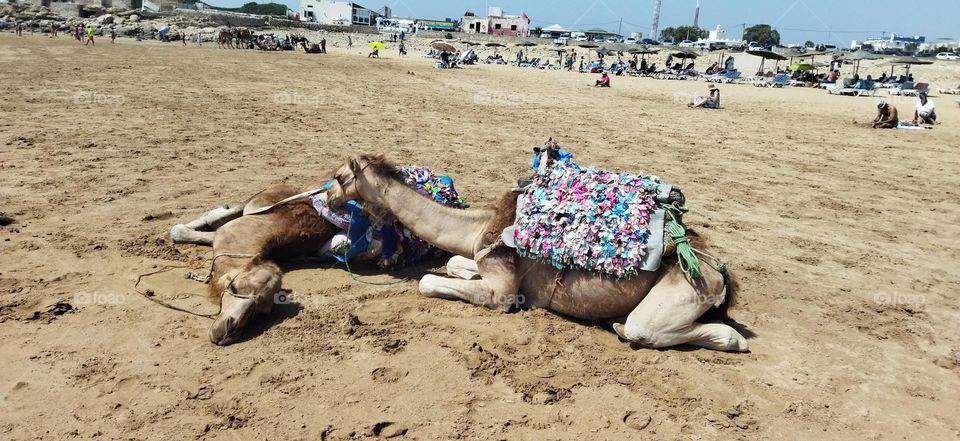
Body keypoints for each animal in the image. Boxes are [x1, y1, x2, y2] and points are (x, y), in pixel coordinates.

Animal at [330, 153, 752, 352]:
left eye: (337, 177)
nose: (329, 196)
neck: (482, 225)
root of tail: (718, 272)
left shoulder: (502, 292)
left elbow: (431, 282)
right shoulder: (489, 260)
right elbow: (453, 262)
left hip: (684, 288)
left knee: (648, 329)